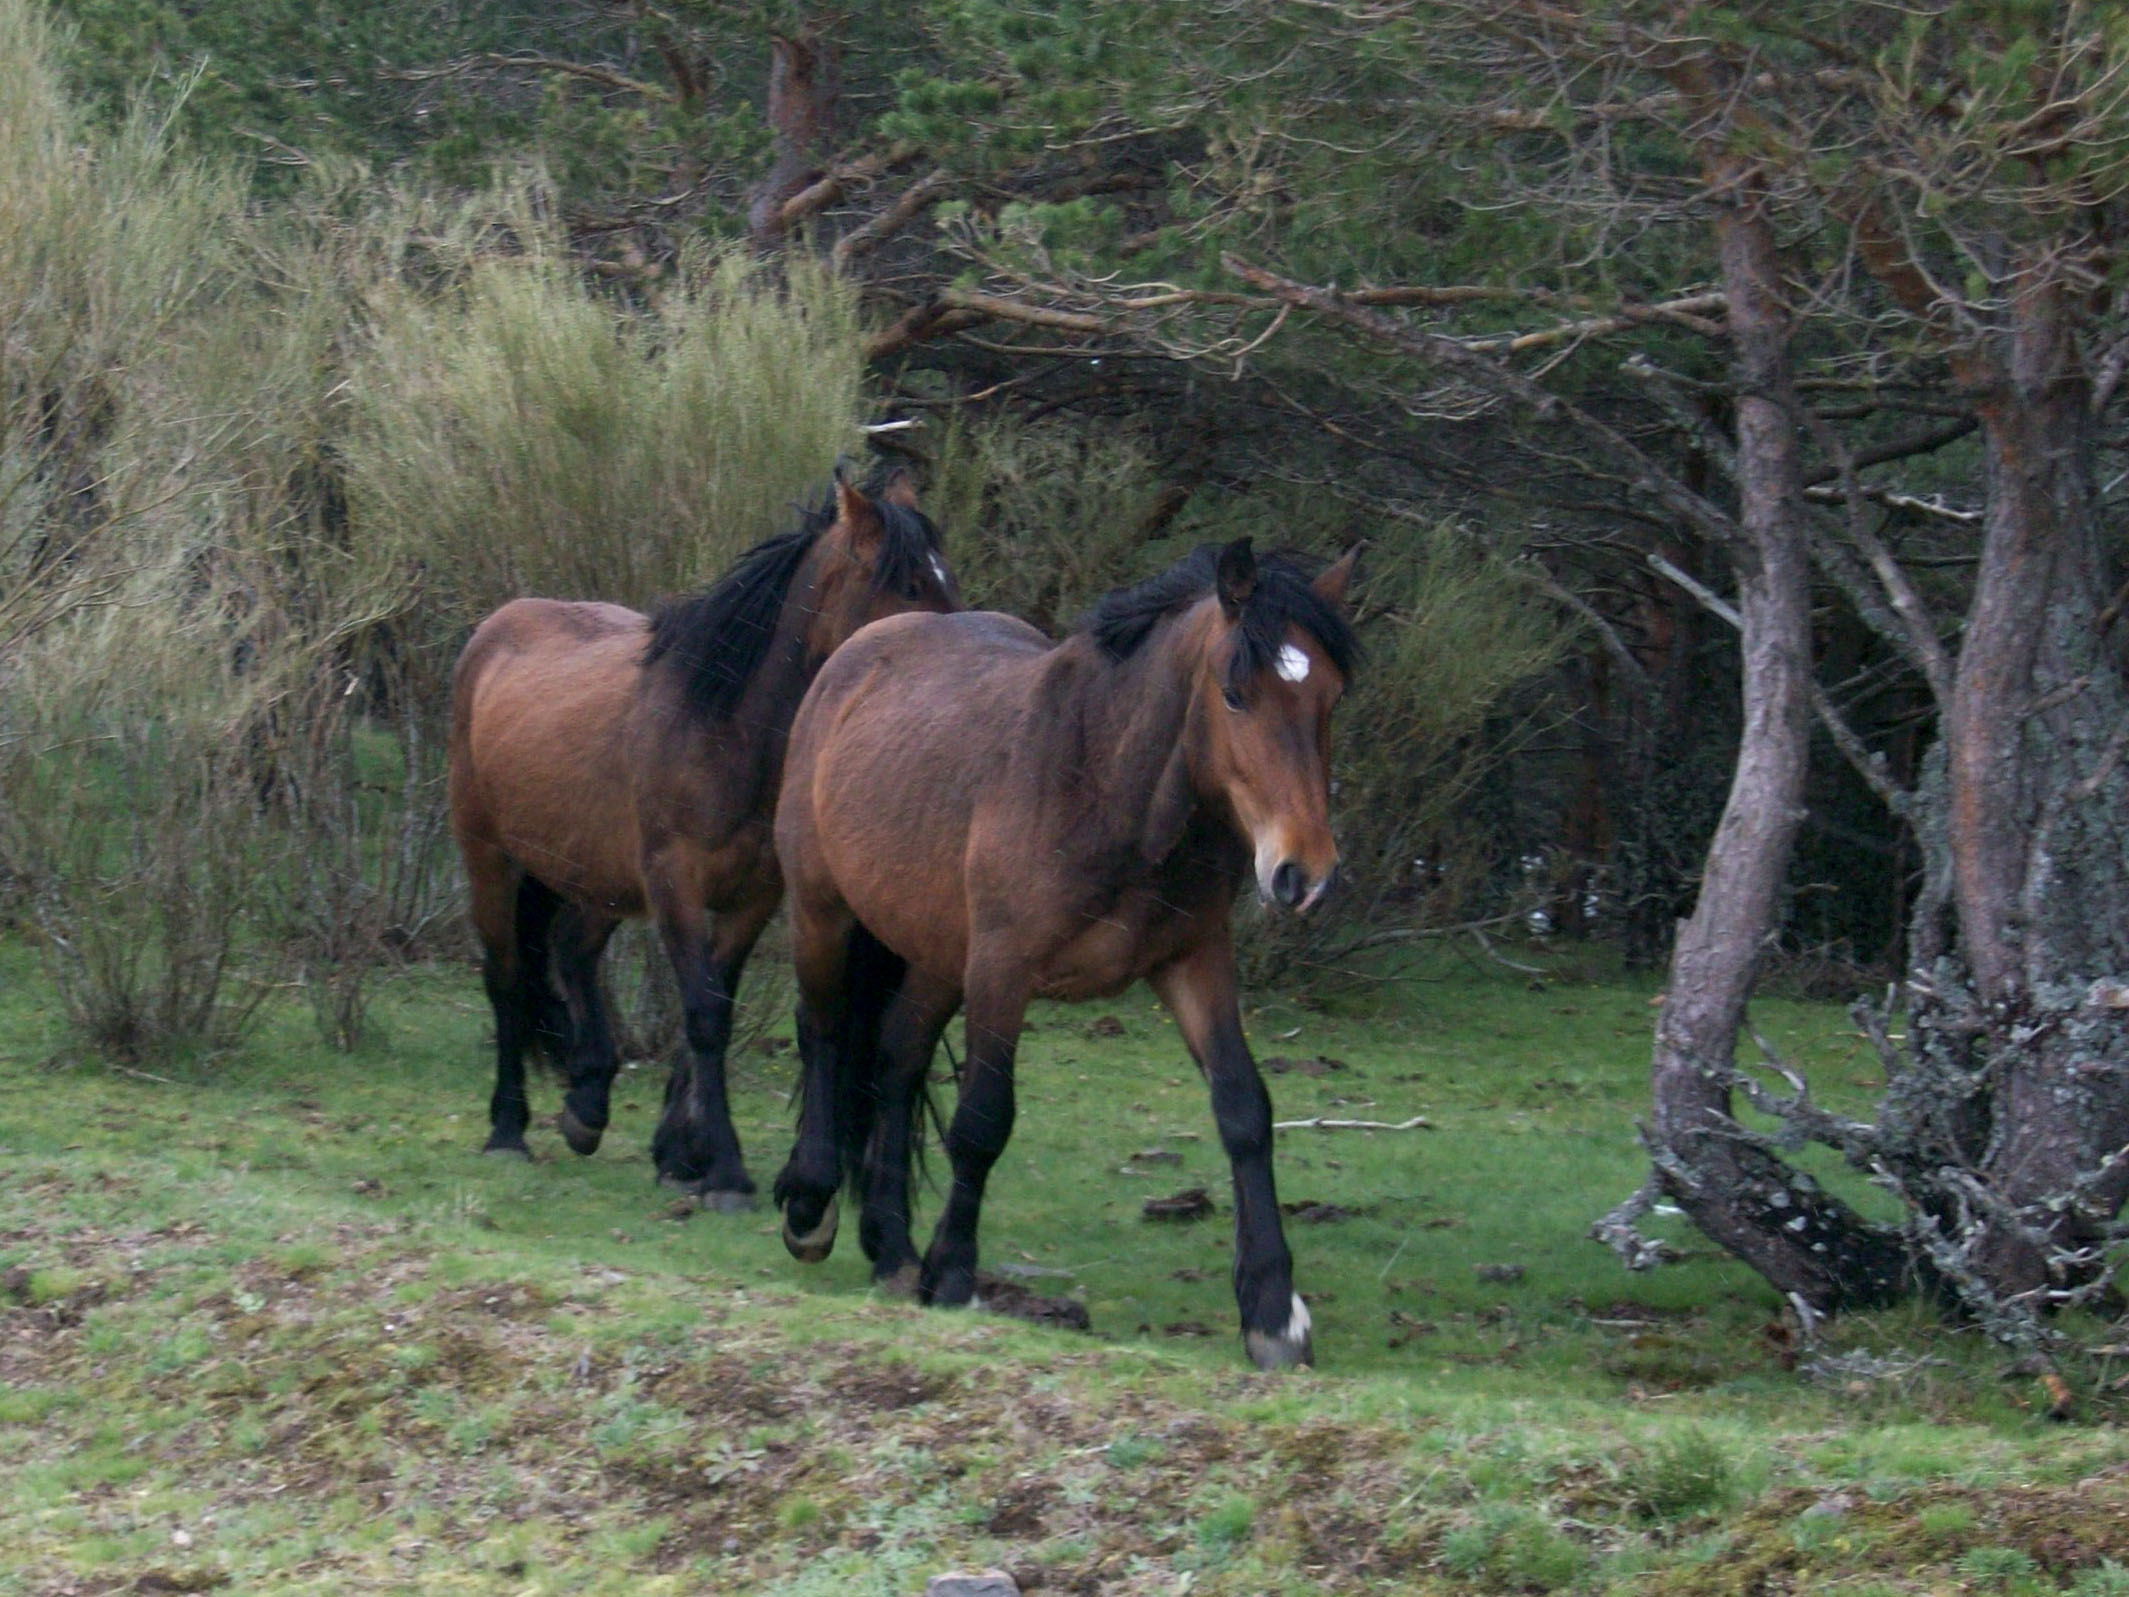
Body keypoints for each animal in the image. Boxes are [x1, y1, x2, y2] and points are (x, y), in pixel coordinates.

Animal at [444, 468, 962, 1209]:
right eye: (911, 584)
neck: (721, 727)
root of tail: (493, 630)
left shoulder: (752, 897)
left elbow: (712, 1005)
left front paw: (680, 1153)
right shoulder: (676, 886)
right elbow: (705, 1015)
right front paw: (723, 1170)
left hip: (602, 880)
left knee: (572, 951)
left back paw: (588, 1103)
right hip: (491, 858)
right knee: (507, 976)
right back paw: (509, 1129)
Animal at [774, 545, 1354, 1371]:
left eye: (1330, 697)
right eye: (1235, 694)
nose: (1304, 873)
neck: (1102, 785)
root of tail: (857, 653)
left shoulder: (1194, 961)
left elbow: (1244, 1109)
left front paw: (1273, 1312)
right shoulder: (1001, 969)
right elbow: (983, 1119)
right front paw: (955, 1275)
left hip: (935, 954)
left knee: (893, 1058)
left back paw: (891, 1248)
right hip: (824, 910)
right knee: (823, 1032)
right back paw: (810, 1205)